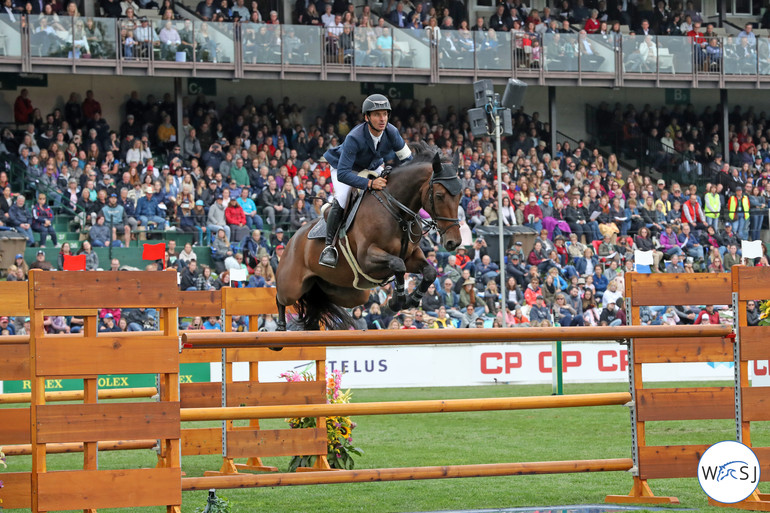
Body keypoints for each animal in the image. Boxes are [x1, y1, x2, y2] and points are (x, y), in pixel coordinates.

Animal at [272, 142, 460, 330]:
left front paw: (410, 300)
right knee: (280, 298)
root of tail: (292, 239)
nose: (454, 242)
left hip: (347, 292)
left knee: (319, 302)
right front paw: (397, 301)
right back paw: (280, 327)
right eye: (439, 195)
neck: (397, 212)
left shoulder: (411, 256)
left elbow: (429, 272)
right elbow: (398, 265)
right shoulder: (366, 258)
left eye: (460, 195)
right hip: (291, 286)